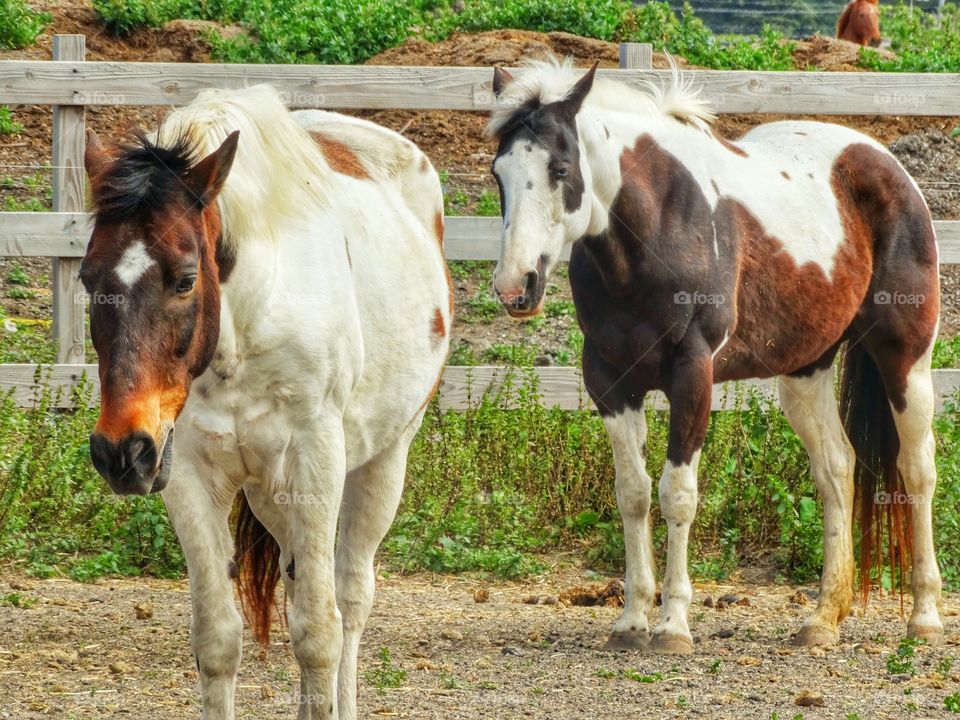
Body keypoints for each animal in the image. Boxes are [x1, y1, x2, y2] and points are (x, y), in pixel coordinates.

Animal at [81, 85, 452, 718]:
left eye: (185, 280)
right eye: (86, 279)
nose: (121, 452)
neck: (243, 329)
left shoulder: (316, 461)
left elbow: (319, 635)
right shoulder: (187, 472)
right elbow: (217, 640)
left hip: (382, 462)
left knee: (350, 600)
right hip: (271, 492)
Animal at [486, 58, 943, 653]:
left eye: (561, 169)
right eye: (498, 173)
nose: (515, 286)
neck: (658, 228)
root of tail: (884, 162)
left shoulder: (692, 375)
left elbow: (677, 494)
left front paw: (673, 626)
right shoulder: (609, 380)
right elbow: (632, 494)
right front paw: (631, 621)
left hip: (905, 359)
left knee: (917, 469)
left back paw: (926, 616)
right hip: (805, 372)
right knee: (836, 469)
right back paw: (823, 618)